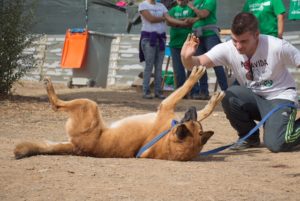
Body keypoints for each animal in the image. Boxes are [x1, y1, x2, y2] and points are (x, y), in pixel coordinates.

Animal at [14, 65, 225, 160]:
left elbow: (183, 88)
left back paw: (51, 91)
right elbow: (204, 110)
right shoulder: (170, 111)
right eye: (194, 122)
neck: (167, 141)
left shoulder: (166, 106)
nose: (190, 109)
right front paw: (212, 102)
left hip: (89, 105)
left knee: (57, 105)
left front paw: (194, 76)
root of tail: (78, 148)